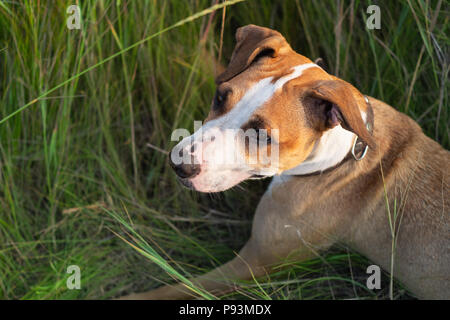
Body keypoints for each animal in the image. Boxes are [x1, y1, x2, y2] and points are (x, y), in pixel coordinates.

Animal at [122, 25, 446, 300]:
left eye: (262, 135)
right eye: (220, 96)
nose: (179, 164)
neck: (343, 153)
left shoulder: (253, 263)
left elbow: (168, 290)